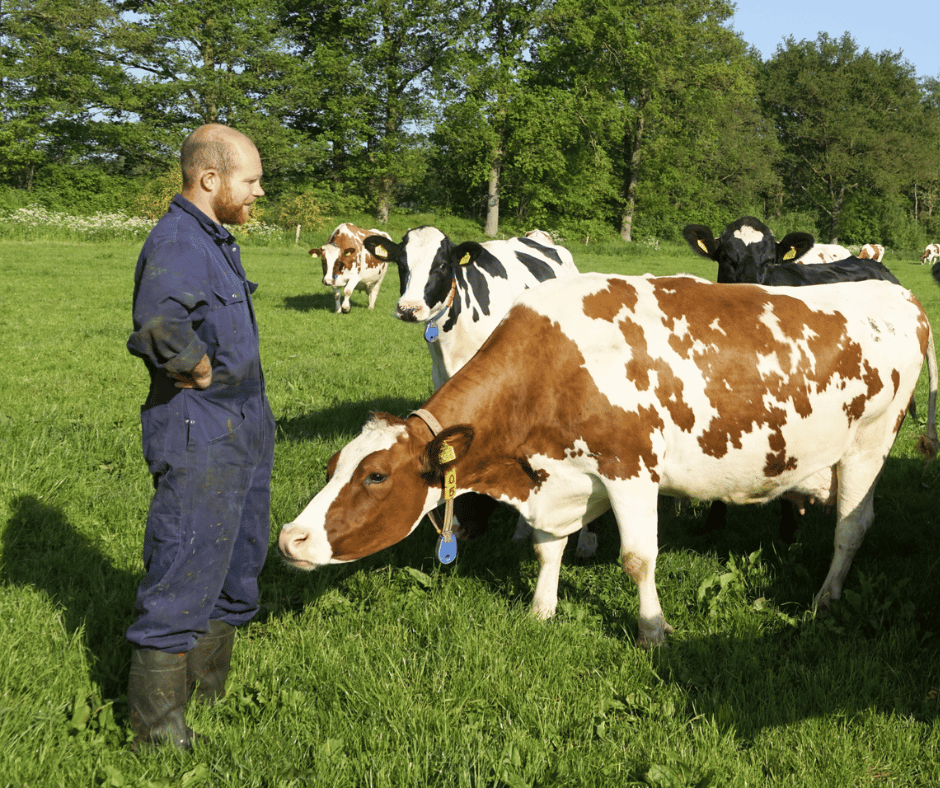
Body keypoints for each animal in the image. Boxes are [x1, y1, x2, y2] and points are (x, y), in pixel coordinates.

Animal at [280, 272, 940, 648]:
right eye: (333, 464)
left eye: (376, 475)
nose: (290, 539)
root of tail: (897, 292)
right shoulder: (560, 475)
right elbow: (548, 547)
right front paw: (541, 610)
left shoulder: (631, 469)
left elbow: (637, 558)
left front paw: (652, 630)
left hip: (868, 447)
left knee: (852, 527)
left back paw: (825, 600)